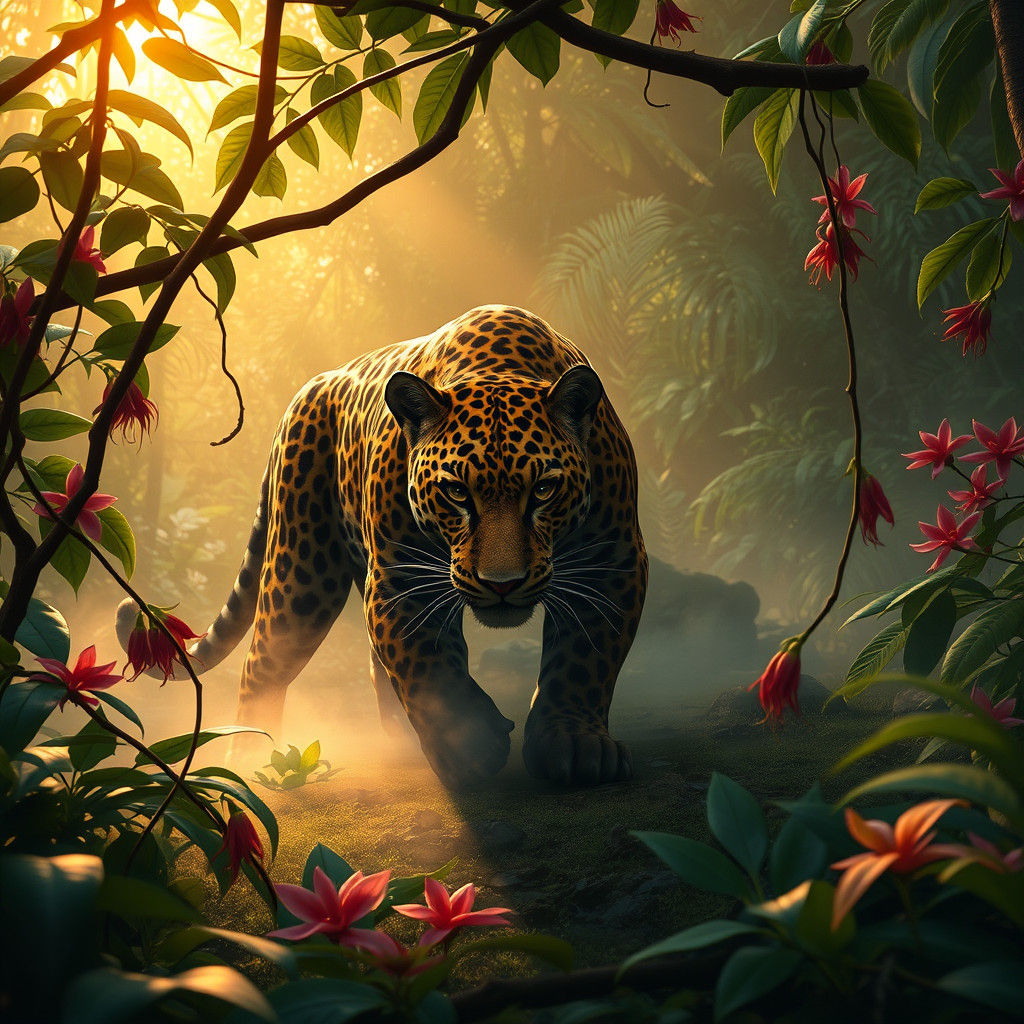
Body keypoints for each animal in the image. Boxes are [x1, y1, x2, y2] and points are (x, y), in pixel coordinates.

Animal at [116, 305, 648, 788]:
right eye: (457, 492)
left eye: (544, 490)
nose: (503, 584)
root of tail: (308, 389)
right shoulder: (400, 576)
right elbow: (426, 664)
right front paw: (470, 741)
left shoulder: (611, 560)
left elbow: (583, 660)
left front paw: (575, 745)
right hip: (303, 571)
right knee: (263, 661)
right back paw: (250, 759)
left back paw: (403, 744)